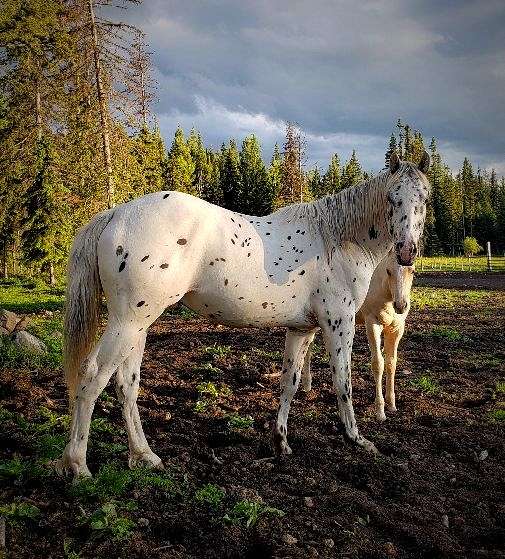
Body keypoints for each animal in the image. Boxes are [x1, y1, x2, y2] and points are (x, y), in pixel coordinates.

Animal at [298, 249, 412, 420]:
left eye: (412, 271)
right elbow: (378, 363)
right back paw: (306, 384)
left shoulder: (397, 328)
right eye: (388, 271)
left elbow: (391, 362)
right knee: (308, 346)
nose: (401, 305)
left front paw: (392, 404)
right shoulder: (372, 324)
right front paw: (380, 411)